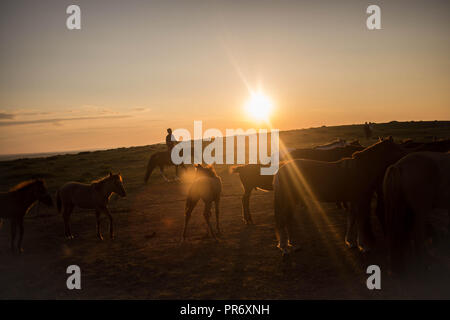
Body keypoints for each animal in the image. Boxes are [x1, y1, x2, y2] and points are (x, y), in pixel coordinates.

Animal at [232, 144, 366, 224]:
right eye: (356, 146)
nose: (362, 151)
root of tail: (241, 167)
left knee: (245, 200)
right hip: (248, 188)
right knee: (244, 200)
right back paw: (248, 219)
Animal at [272, 138, 406, 258]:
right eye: (397, 149)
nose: (406, 157)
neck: (361, 168)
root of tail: (281, 170)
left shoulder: (353, 201)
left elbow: (351, 220)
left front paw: (350, 242)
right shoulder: (360, 201)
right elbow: (360, 222)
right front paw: (364, 246)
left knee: (287, 220)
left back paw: (292, 245)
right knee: (283, 221)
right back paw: (284, 248)